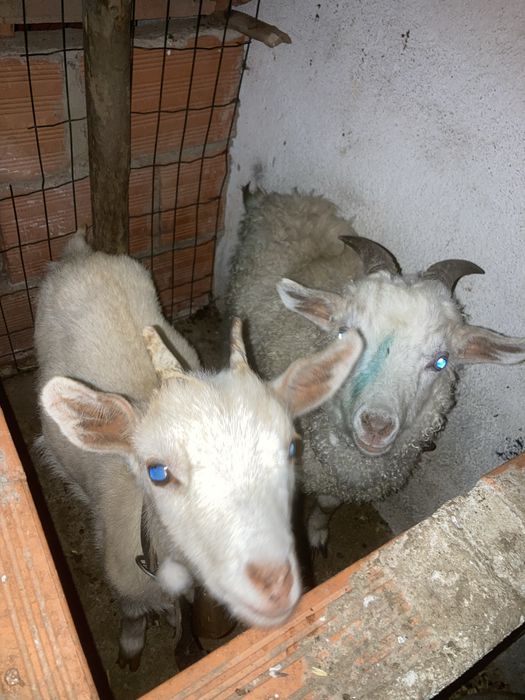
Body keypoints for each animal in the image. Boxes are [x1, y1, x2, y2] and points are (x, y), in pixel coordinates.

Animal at [34, 231, 362, 669]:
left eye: (292, 449)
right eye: (157, 471)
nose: (273, 587)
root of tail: (83, 254)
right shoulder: (126, 582)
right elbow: (132, 616)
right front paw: (131, 648)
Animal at [228, 188, 525, 553]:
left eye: (440, 361)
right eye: (343, 334)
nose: (376, 426)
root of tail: (281, 197)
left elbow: (327, 504)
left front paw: (317, 529)